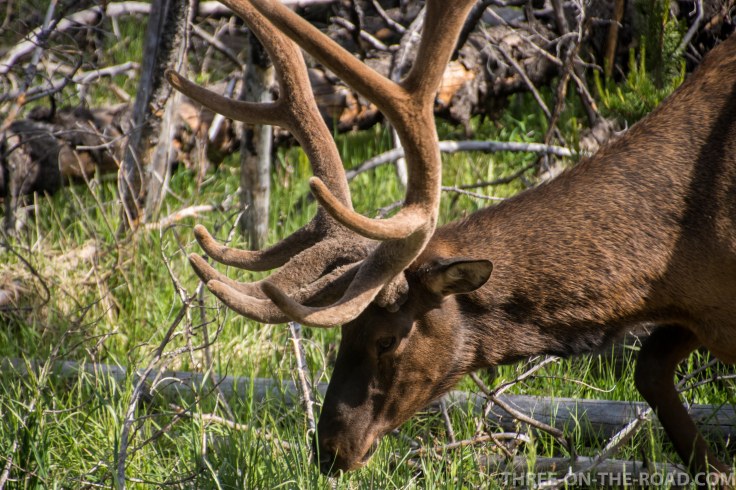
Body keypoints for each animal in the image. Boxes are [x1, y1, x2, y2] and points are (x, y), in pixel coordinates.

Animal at [166, 0, 736, 480]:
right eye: (343, 333)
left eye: (386, 339)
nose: (328, 450)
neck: (683, 247)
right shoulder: (700, 308)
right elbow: (650, 369)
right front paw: (712, 469)